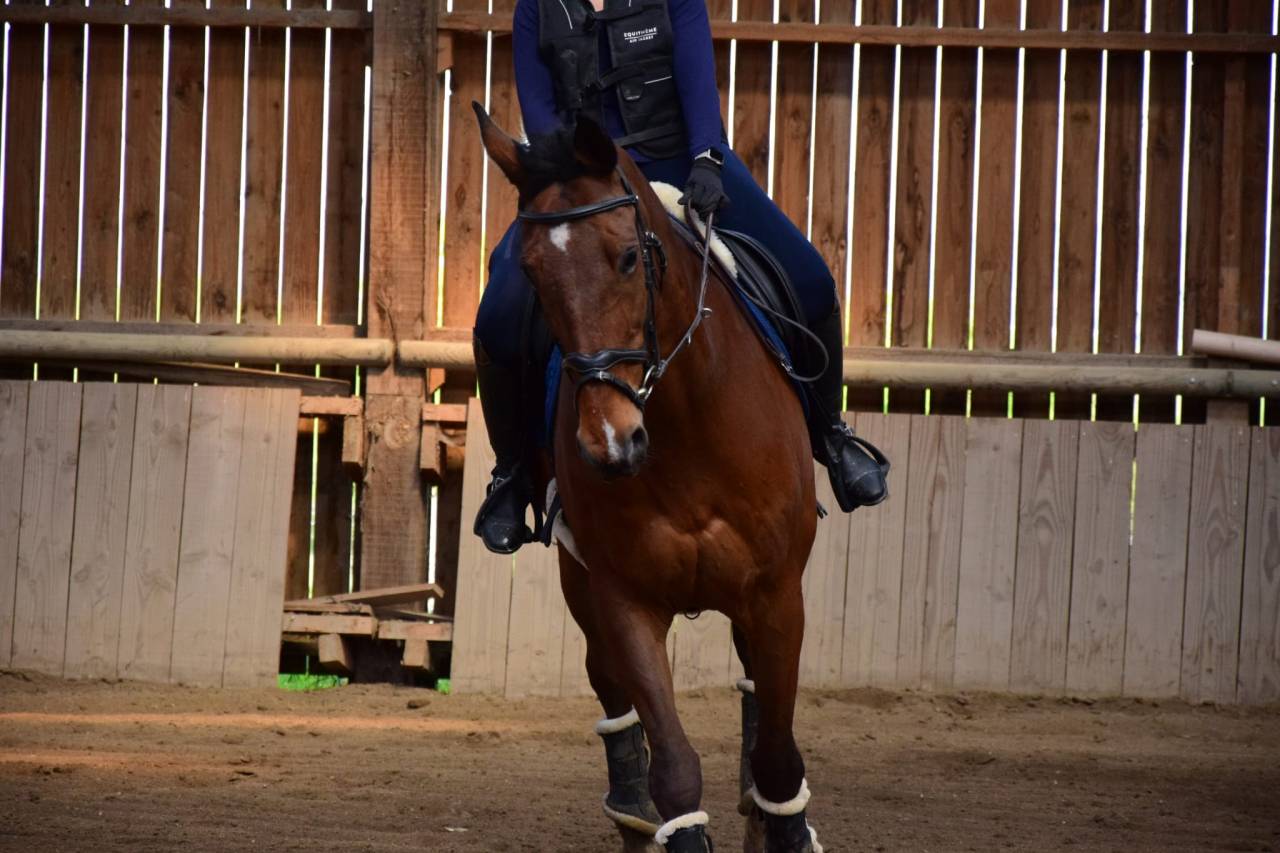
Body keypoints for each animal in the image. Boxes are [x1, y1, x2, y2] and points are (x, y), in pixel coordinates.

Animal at [475, 104, 823, 853]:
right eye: (534, 274)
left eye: (629, 257)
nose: (610, 443)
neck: (686, 426)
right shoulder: (624, 598)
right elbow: (676, 771)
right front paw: (660, 808)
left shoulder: (777, 594)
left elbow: (779, 759)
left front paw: (783, 820)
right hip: (579, 577)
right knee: (605, 683)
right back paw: (629, 803)